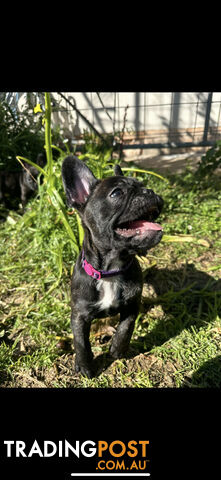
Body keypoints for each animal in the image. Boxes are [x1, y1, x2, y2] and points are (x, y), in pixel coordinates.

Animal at [61, 156, 163, 376]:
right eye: (116, 193)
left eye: (142, 185)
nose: (149, 191)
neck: (110, 271)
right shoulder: (79, 316)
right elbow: (81, 342)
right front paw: (84, 366)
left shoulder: (132, 305)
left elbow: (126, 328)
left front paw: (117, 350)